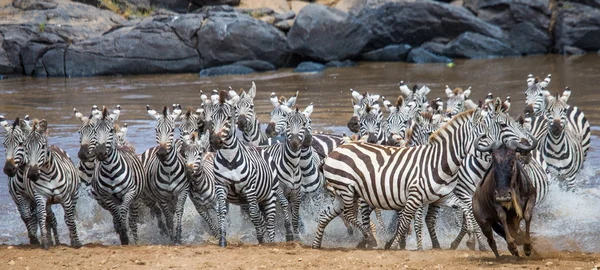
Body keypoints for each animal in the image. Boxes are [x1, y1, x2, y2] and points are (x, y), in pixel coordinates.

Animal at [21, 119, 81, 250]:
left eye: (43, 147)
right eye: (26, 147)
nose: (33, 174)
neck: (48, 174)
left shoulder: (66, 198)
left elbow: (70, 219)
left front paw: (76, 242)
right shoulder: (41, 197)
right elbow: (42, 217)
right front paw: (45, 241)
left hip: (74, 195)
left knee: (68, 217)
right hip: (48, 203)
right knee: (50, 219)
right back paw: (53, 240)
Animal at [92, 107, 147, 245]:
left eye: (110, 130)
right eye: (95, 131)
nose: (100, 152)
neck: (110, 171)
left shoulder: (130, 192)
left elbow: (122, 212)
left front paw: (124, 233)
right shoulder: (105, 197)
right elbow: (116, 213)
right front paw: (122, 233)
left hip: (135, 200)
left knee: (132, 221)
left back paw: (135, 240)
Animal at [141, 104, 188, 244]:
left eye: (172, 130)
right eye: (156, 130)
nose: (162, 153)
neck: (169, 170)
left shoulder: (182, 191)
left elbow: (179, 211)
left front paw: (178, 236)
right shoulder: (161, 197)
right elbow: (167, 217)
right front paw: (172, 237)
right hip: (147, 197)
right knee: (156, 211)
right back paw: (163, 231)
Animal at [209, 90, 288, 245]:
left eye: (228, 118)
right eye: (212, 118)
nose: (215, 141)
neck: (229, 159)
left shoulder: (249, 189)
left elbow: (256, 215)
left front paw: (261, 237)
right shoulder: (221, 186)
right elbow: (222, 212)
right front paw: (222, 240)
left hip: (269, 194)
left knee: (269, 219)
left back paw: (270, 241)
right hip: (246, 200)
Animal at [312, 107, 490, 249]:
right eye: (483, 136)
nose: (496, 151)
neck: (436, 162)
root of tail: (331, 153)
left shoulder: (442, 197)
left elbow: (466, 209)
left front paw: (472, 238)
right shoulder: (414, 196)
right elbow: (406, 222)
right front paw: (400, 245)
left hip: (342, 194)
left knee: (326, 215)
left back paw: (316, 245)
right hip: (347, 189)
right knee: (350, 214)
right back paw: (369, 239)